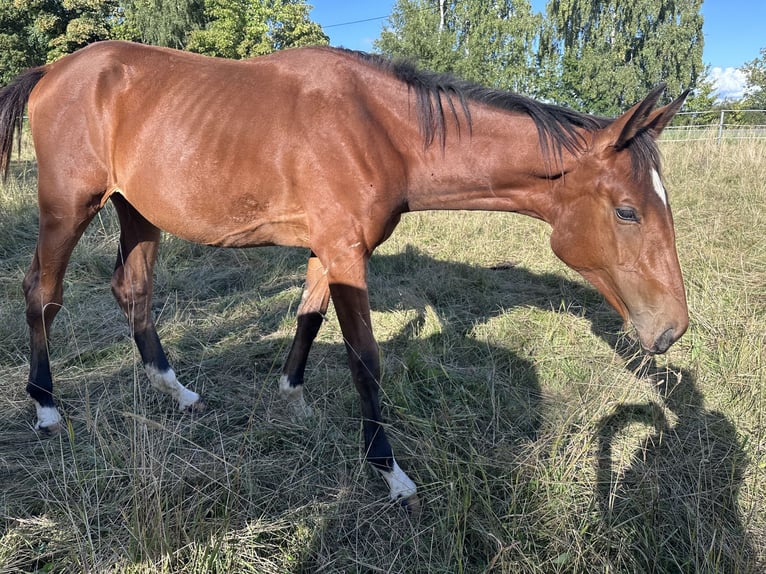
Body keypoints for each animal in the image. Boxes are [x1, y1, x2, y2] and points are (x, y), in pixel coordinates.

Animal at [0, 41, 689, 510]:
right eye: (627, 211)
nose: (671, 330)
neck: (378, 127)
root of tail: (54, 72)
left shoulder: (326, 252)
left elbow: (308, 319)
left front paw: (292, 396)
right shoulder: (345, 252)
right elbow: (365, 358)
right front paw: (389, 470)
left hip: (137, 212)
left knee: (133, 291)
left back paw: (177, 391)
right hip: (68, 208)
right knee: (43, 293)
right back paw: (46, 408)